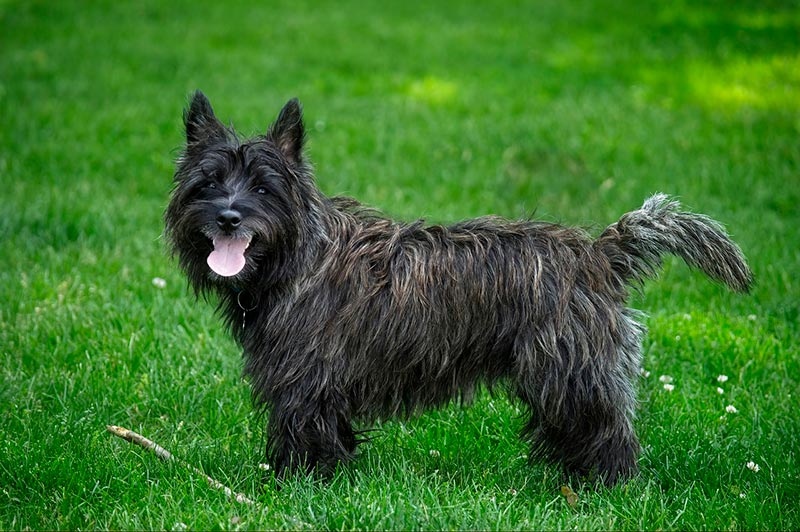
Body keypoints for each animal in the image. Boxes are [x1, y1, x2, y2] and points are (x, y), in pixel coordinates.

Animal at [166, 92, 752, 486]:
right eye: (208, 182)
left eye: (264, 187)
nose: (228, 216)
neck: (296, 257)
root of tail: (599, 255)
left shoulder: (305, 381)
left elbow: (303, 434)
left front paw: (299, 486)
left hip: (571, 374)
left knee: (609, 432)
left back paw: (605, 488)